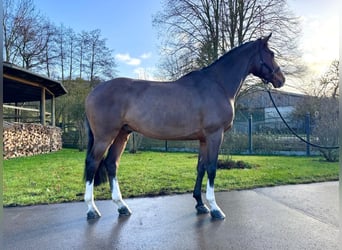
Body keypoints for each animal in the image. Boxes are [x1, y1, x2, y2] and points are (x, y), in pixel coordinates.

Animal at [84, 33, 284, 221]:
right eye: (271, 54)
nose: (281, 79)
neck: (218, 85)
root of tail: (93, 92)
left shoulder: (203, 139)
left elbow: (201, 168)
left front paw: (200, 204)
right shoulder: (215, 135)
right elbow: (212, 168)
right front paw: (215, 208)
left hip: (121, 134)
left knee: (111, 164)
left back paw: (122, 206)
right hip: (105, 137)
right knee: (92, 163)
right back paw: (92, 209)